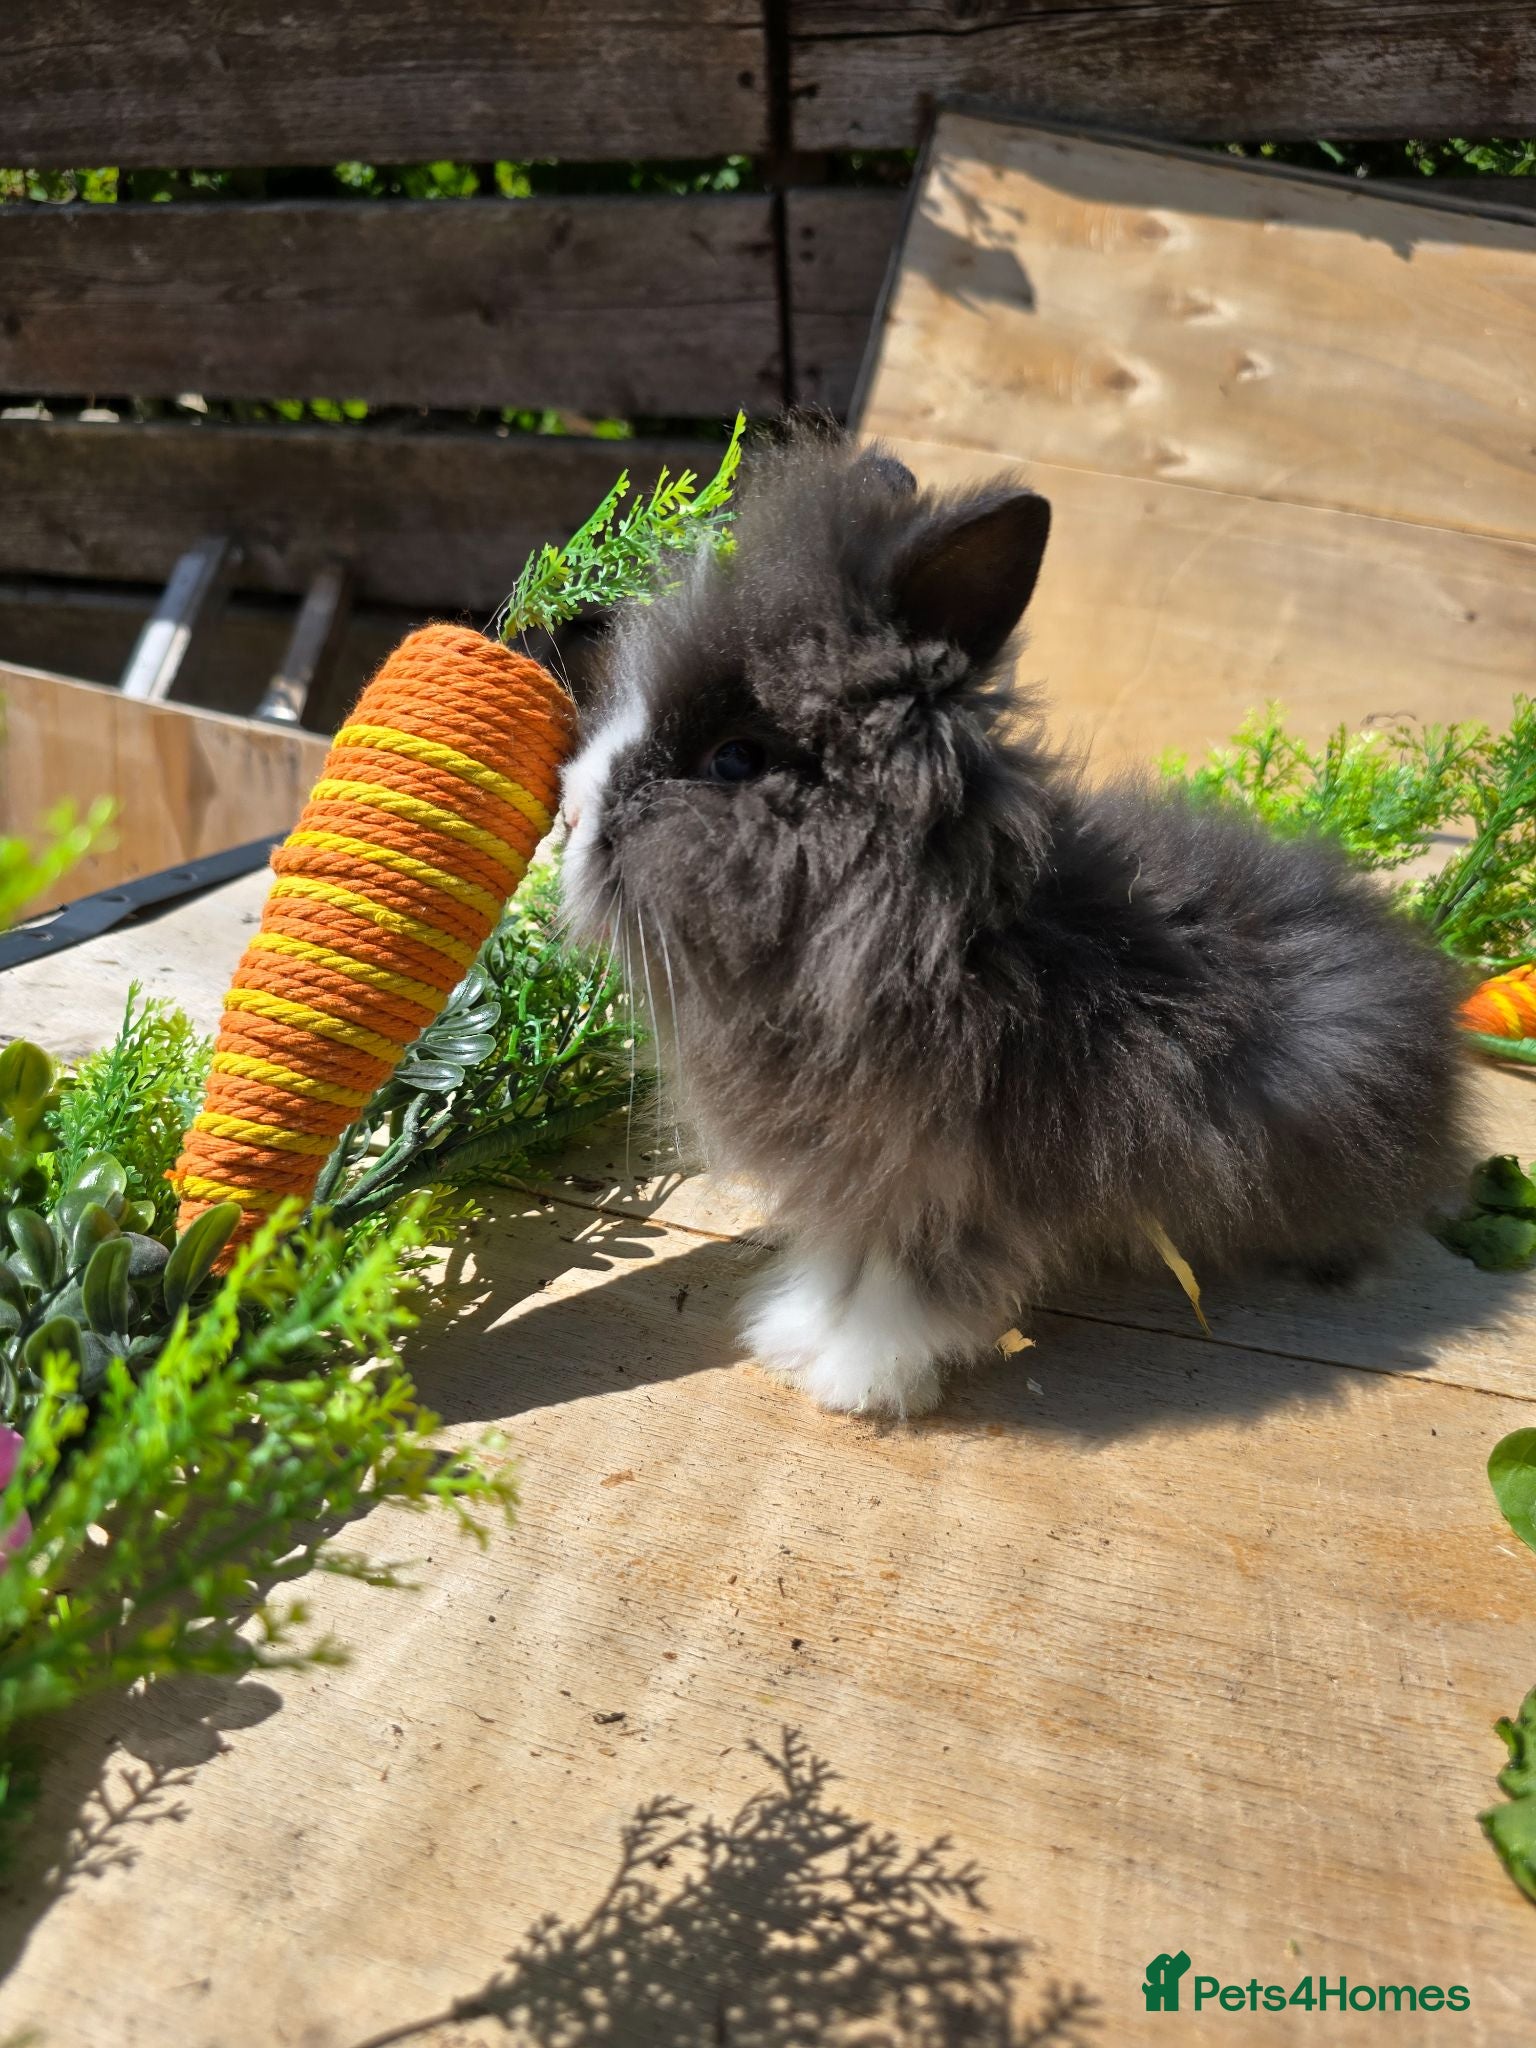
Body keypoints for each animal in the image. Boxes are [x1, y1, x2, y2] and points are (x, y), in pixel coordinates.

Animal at [558, 429, 1469, 1417]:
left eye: (733, 758)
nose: (568, 815)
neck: (940, 941)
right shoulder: (857, 1179)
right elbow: (839, 1262)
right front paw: (792, 1338)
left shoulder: (944, 1182)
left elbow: (902, 1287)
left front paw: (857, 1381)